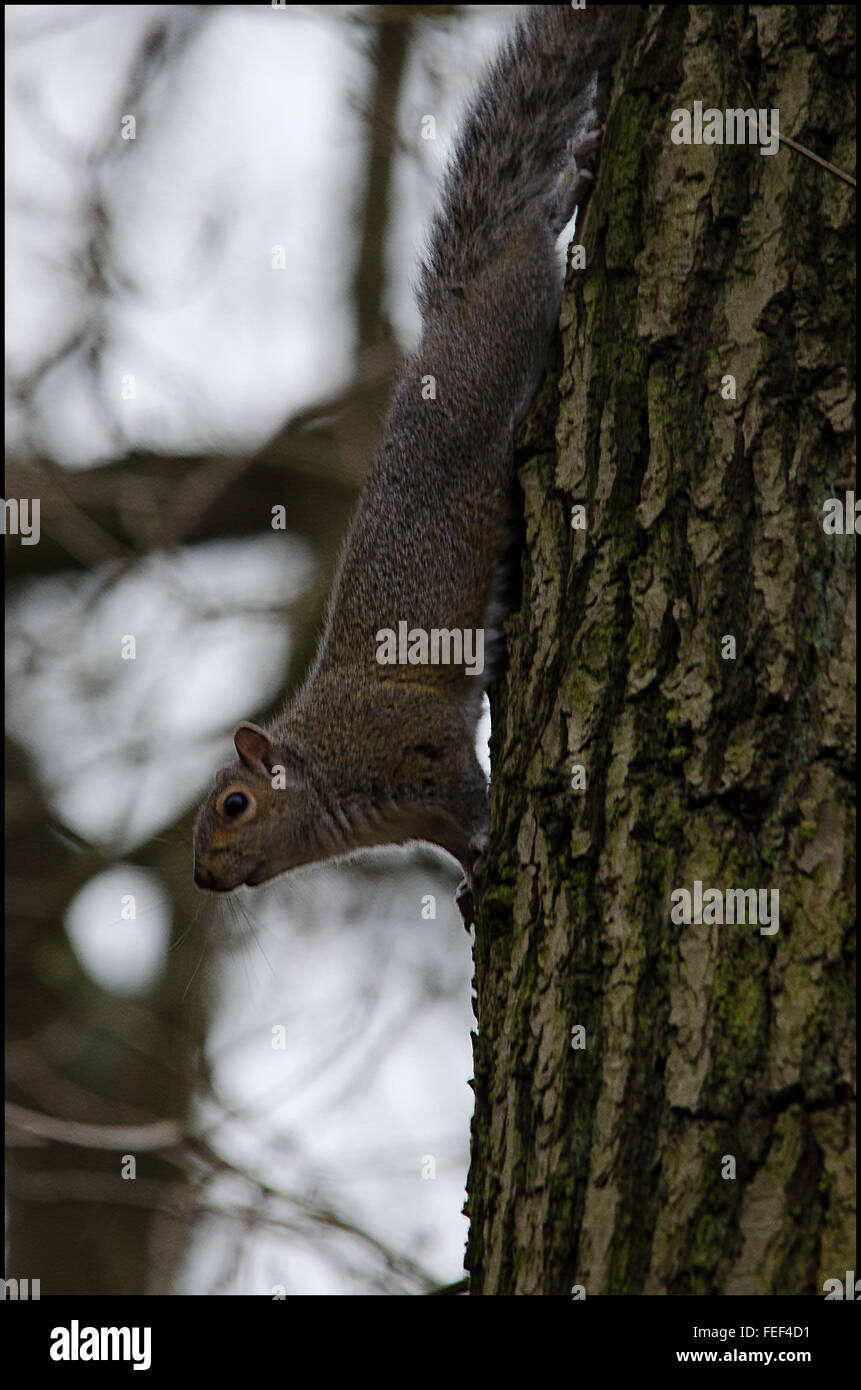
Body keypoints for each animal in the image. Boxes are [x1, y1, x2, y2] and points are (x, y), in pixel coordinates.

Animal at [194, 4, 626, 924]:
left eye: (235, 804)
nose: (205, 878)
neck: (327, 771)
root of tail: (447, 317)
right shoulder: (412, 815)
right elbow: (451, 838)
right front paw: (468, 881)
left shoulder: (419, 746)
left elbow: (467, 786)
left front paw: (487, 854)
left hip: (509, 327)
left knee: (527, 245)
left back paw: (569, 184)